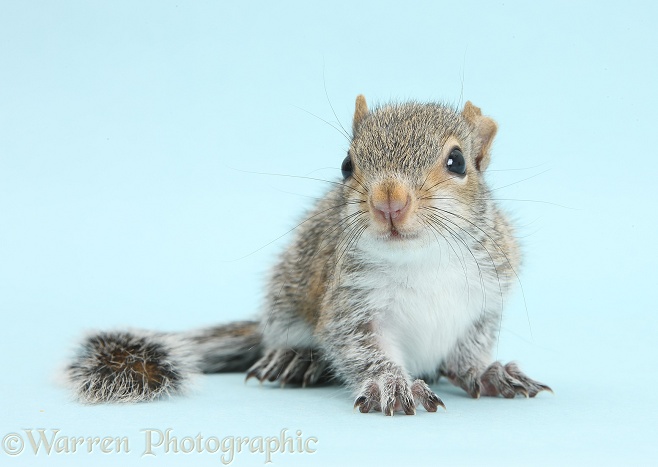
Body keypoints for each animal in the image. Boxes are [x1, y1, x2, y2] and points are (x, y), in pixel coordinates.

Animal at [66, 96, 548, 416]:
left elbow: (468, 352)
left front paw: (488, 372)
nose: (388, 201)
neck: (421, 258)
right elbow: (358, 347)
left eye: (457, 161)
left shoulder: (486, 296)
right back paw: (297, 358)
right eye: (347, 165)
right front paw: (390, 383)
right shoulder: (350, 305)